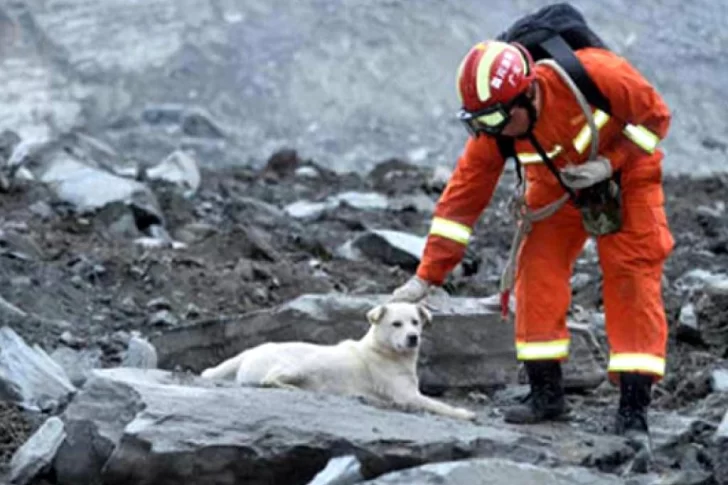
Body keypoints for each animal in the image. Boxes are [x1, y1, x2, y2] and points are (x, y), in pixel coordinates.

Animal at [200, 302, 478, 420]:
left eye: (416, 322)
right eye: (396, 323)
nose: (413, 338)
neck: (385, 351)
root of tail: (250, 351)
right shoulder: (405, 394)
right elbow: (437, 404)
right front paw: (464, 413)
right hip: (303, 365)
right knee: (270, 381)